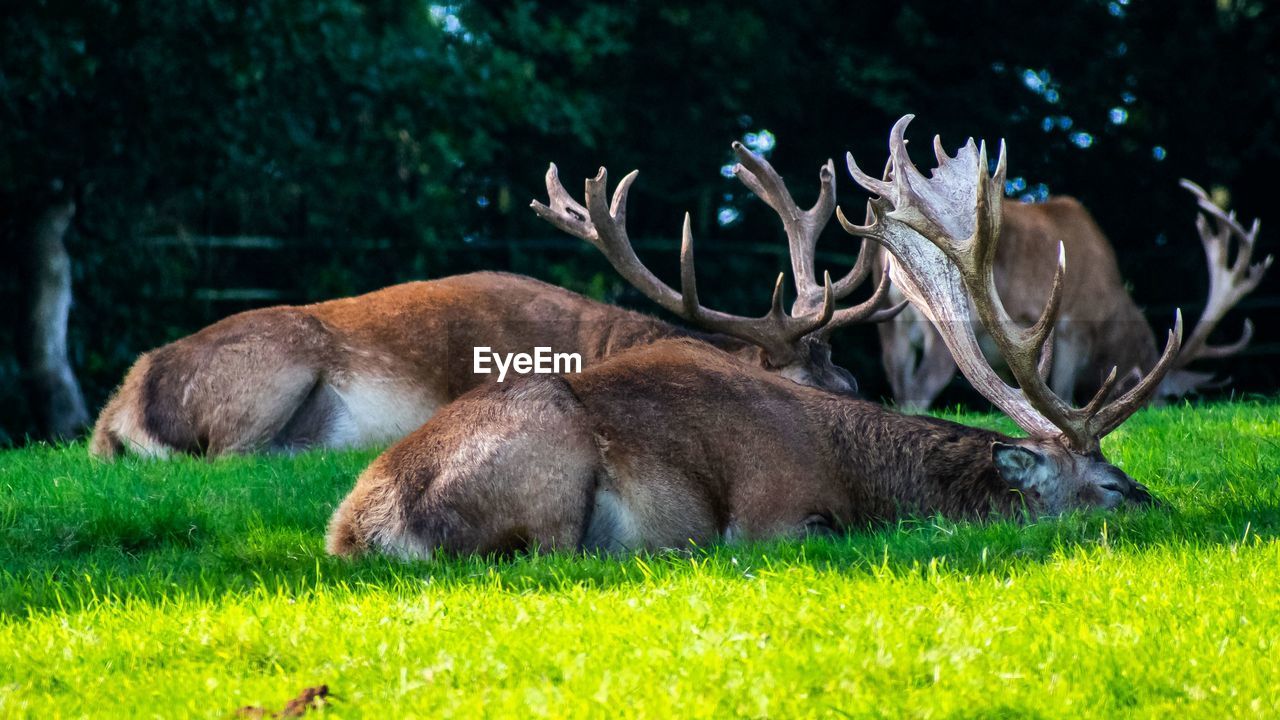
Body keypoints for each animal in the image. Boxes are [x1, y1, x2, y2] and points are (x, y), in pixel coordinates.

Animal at [325, 114, 1172, 558]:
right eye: (1109, 485)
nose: (1167, 509)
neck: (864, 477)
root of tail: (356, 529)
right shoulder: (773, 510)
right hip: (548, 461)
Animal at [875, 172, 1264, 409]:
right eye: (1158, 401)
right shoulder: (1076, 327)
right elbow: (1063, 393)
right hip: (945, 321)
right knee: (919, 389)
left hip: (891, 323)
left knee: (899, 385)